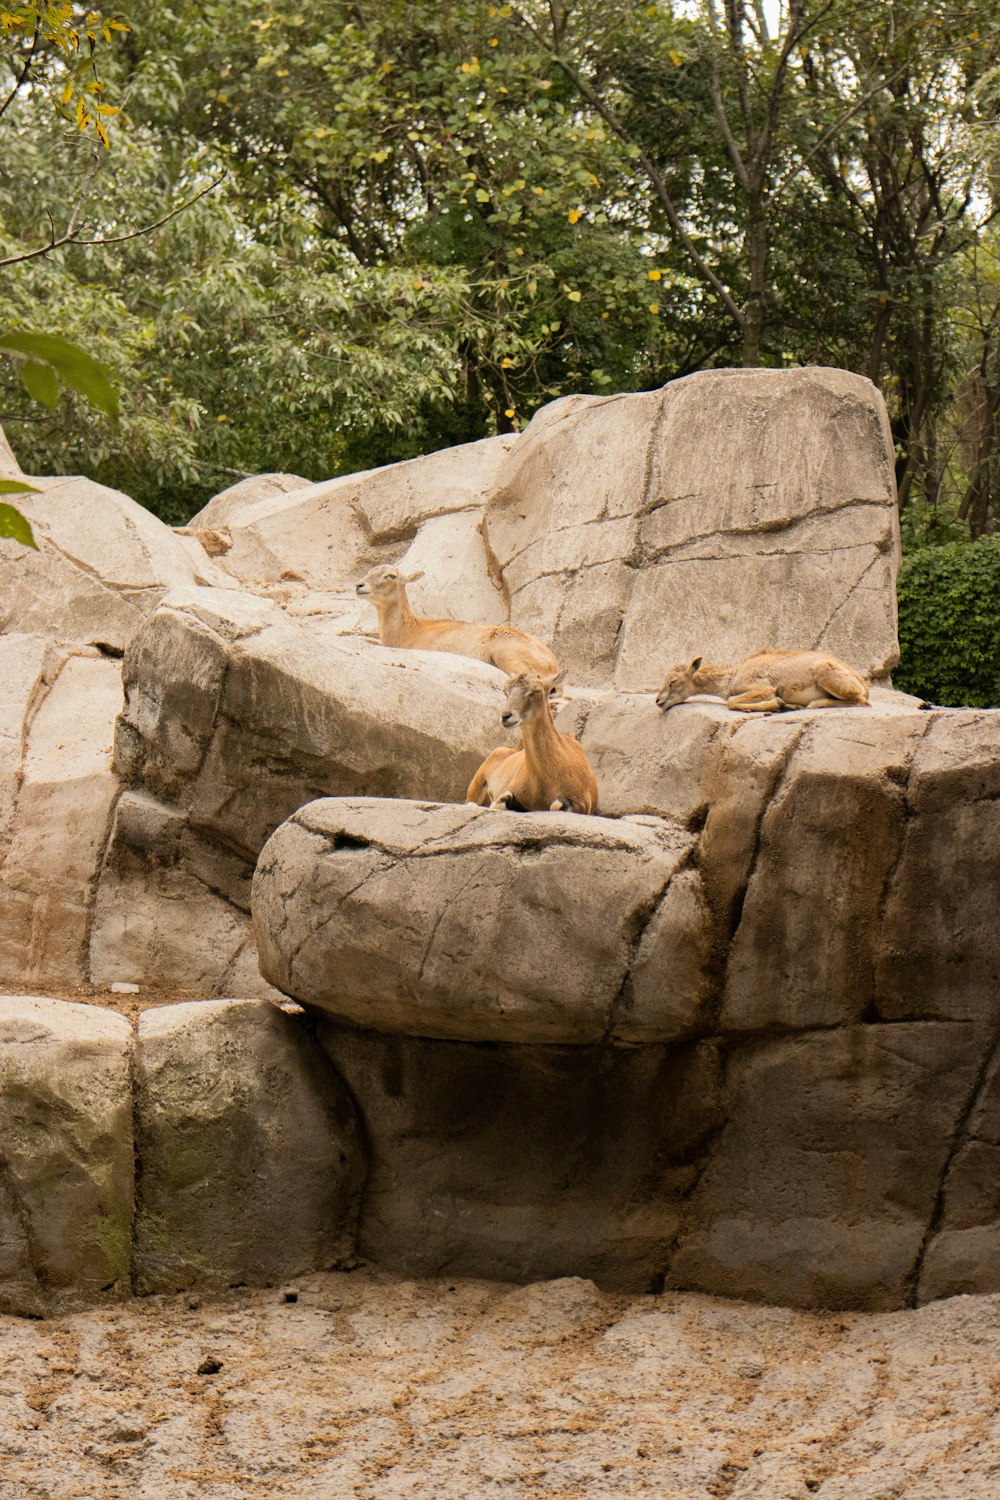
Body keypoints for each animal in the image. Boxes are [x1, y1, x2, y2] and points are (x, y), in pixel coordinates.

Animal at [353, 564, 560, 678]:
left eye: (391, 576)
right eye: (370, 571)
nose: (359, 585)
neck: (410, 631)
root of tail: (552, 665)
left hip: (507, 654)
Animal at [464, 675, 599, 816]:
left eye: (536, 690)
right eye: (505, 691)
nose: (506, 716)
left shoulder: (582, 804)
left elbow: (557, 804)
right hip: (477, 783)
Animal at [656, 648, 869, 711]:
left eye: (673, 681)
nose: (658, 700)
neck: (732, 675)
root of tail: (863, 684)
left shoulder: (762, 687)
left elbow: (732, 702)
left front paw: (777, 703)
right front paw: (783, 704)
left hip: (828, 674)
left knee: (862, 701)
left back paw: (815, 703)